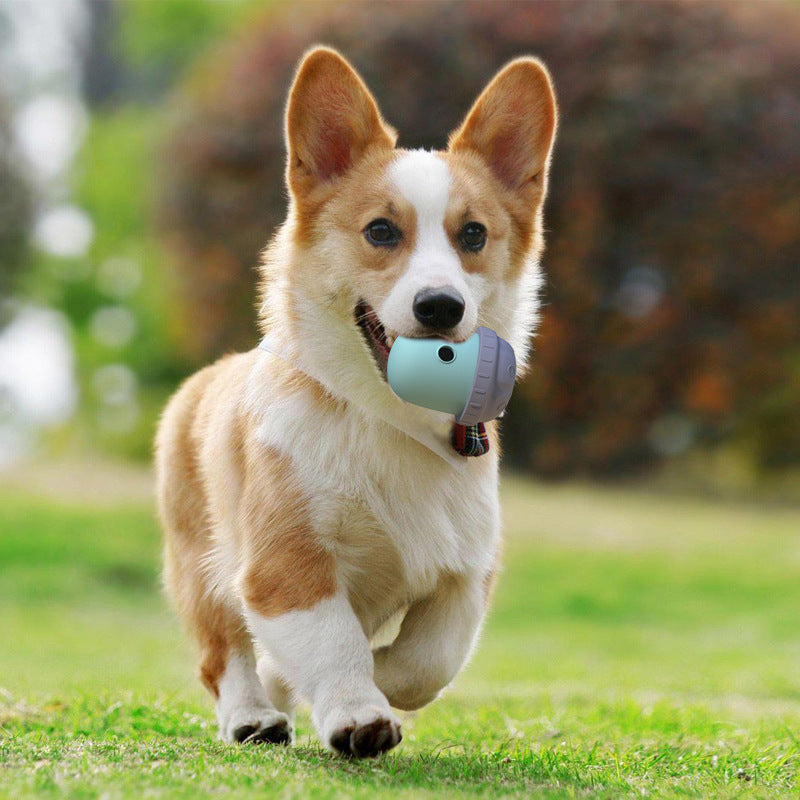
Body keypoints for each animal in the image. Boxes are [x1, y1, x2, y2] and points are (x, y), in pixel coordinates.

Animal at [156, 43, 556, 756]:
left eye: (473, 236)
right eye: (381, 231)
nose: (440, 306)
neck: (393, 421)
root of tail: (207, 376)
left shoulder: (467, 570)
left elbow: (431, 659)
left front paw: (385, 678)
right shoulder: (284, 564)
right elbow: (334, 643)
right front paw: (356, 713)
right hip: (198, 564)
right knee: (224, 654)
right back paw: (252, 715)